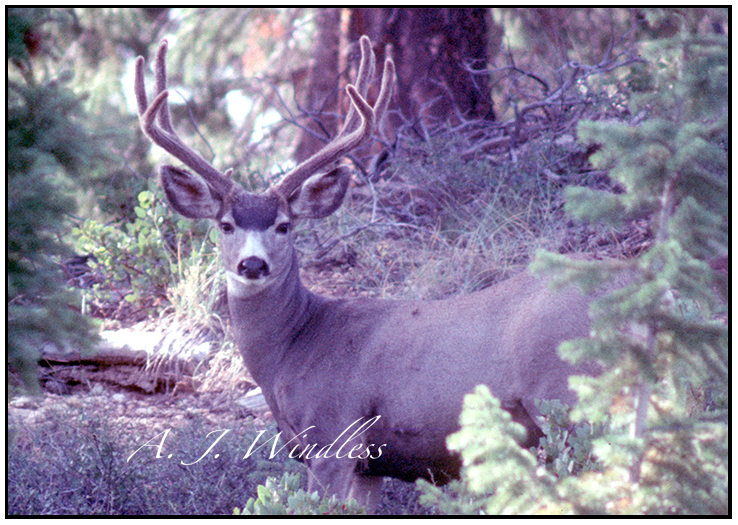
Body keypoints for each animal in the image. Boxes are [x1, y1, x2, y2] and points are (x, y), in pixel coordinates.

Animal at [135, 36, 600, 512]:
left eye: (284, 225)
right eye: (226, 224)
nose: (252, 264)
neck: (294, 348)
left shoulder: (333, 437)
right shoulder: (370, 466)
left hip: (565, 395)